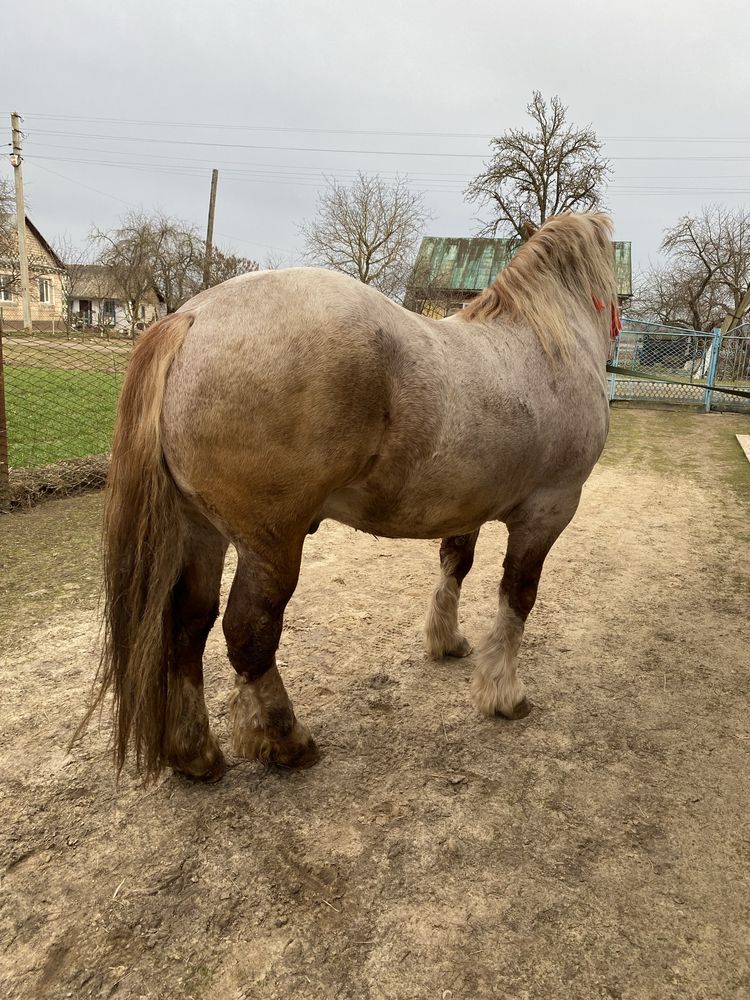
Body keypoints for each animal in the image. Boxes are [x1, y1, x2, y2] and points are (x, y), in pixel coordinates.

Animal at [89, 211, 616, 780]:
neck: (544, 341)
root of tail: (193, 317)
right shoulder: (548, 511)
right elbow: (518, 596)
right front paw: (503, 694)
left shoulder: (468, 506)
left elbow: (455, 564)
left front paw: (448, 641)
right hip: (270, 546)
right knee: (248, 632)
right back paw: (286, 739)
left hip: (202, 534)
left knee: (189, 626)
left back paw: (195, 752)